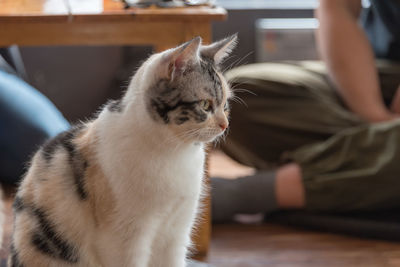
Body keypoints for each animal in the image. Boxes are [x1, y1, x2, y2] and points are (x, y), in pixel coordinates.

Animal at [8, 34, 238, 266]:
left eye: (225, 105)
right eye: (205, 105)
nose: (225, 125)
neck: (174, 152)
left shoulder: (176, 232)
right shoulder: (124, 240)